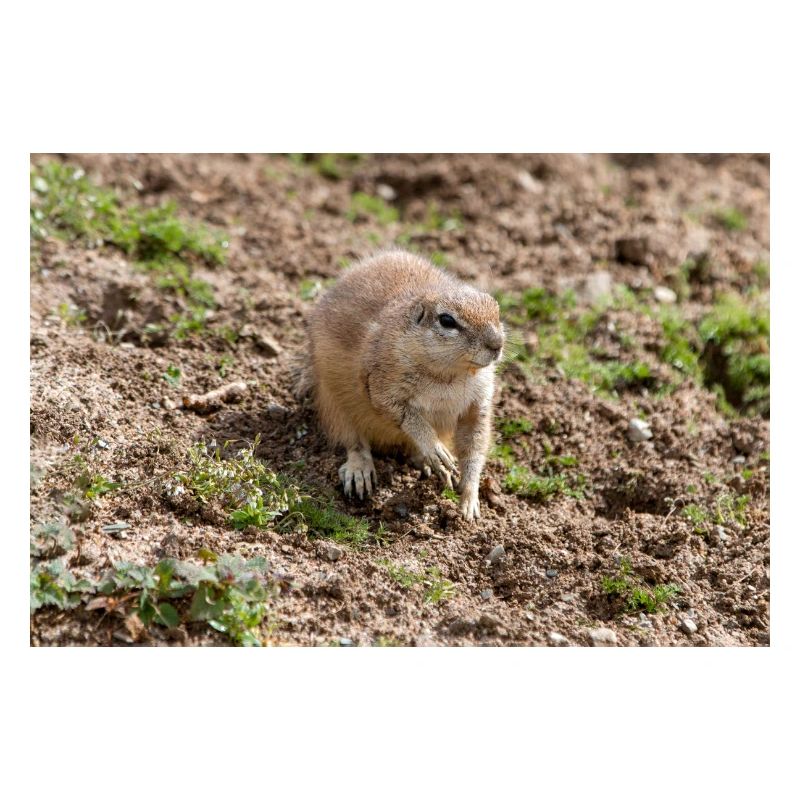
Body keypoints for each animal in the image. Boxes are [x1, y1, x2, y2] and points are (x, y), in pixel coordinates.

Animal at [297, 249, 504, 521]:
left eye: (496, 307)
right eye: (447, 320)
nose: (497, 344)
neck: (449, 375)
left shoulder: (478, 402)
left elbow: (475, 444)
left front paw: (469, 500)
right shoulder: (382, 382)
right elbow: (405, 414)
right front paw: (435, 449)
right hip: (333, 404)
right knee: (353, 441)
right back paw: (361, 471)